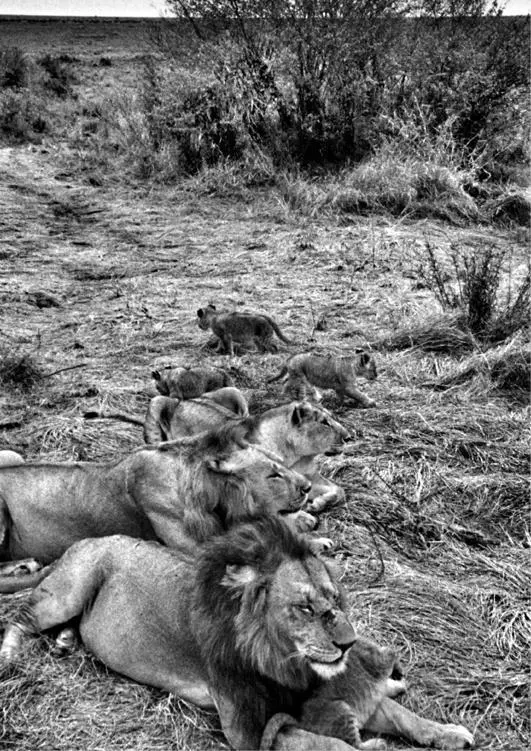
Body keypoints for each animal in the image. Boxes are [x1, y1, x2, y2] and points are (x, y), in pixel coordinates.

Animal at [0, 424, 312, 588]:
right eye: (273, 475)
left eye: (281, 464)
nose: (308, 487)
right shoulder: (191, 546)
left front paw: (307, 522)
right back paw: (23, 565)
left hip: (12, 455)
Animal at [0, 516, 474, 751]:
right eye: (304, 608)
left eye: (335, 600)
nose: (348, 644)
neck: (283, 661)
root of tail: (83, 542)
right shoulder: (250, 729)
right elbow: (326, 744)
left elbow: (402, 715)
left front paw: (449, 733)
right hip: (68, 590)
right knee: (19, 620)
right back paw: (9, 658)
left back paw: (65, 641)